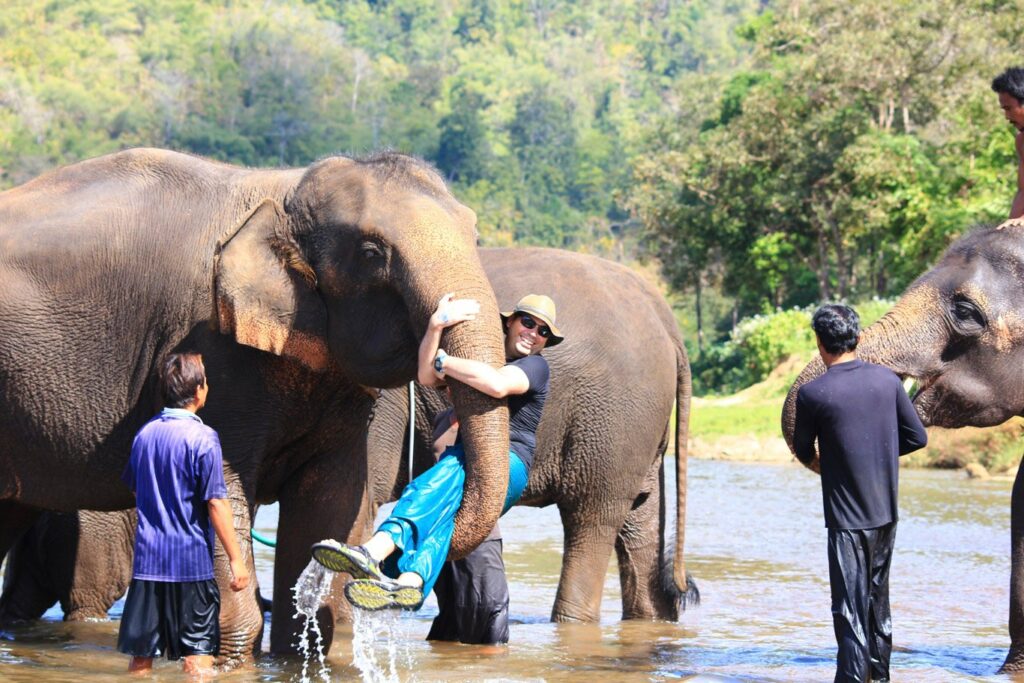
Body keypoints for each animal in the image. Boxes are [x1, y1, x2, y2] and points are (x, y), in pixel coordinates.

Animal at [0, 148, 513, 664]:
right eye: (371, 253)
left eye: (475, 237)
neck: (284, 195)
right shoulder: (213, 347)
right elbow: (221, 489)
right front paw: (231, 657)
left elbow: (333, 497)